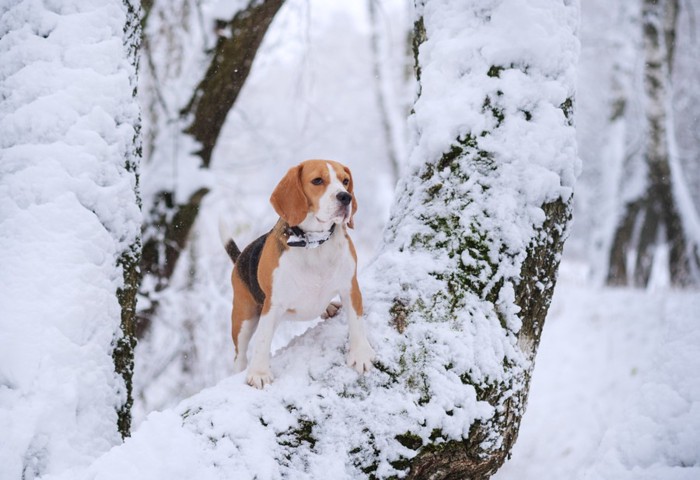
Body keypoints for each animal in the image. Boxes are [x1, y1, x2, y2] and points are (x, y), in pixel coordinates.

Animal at [224, 159, 378, 388]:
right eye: (317, 180)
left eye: (345, 181)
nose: (345, 197)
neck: (314, 243)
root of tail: (241, 256)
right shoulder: (273, 303)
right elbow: (263, 339)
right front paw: (259, 373)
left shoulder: (350, 287)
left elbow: (357, 321)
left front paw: (361, 355)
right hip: (244, 317)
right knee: (239, 354)